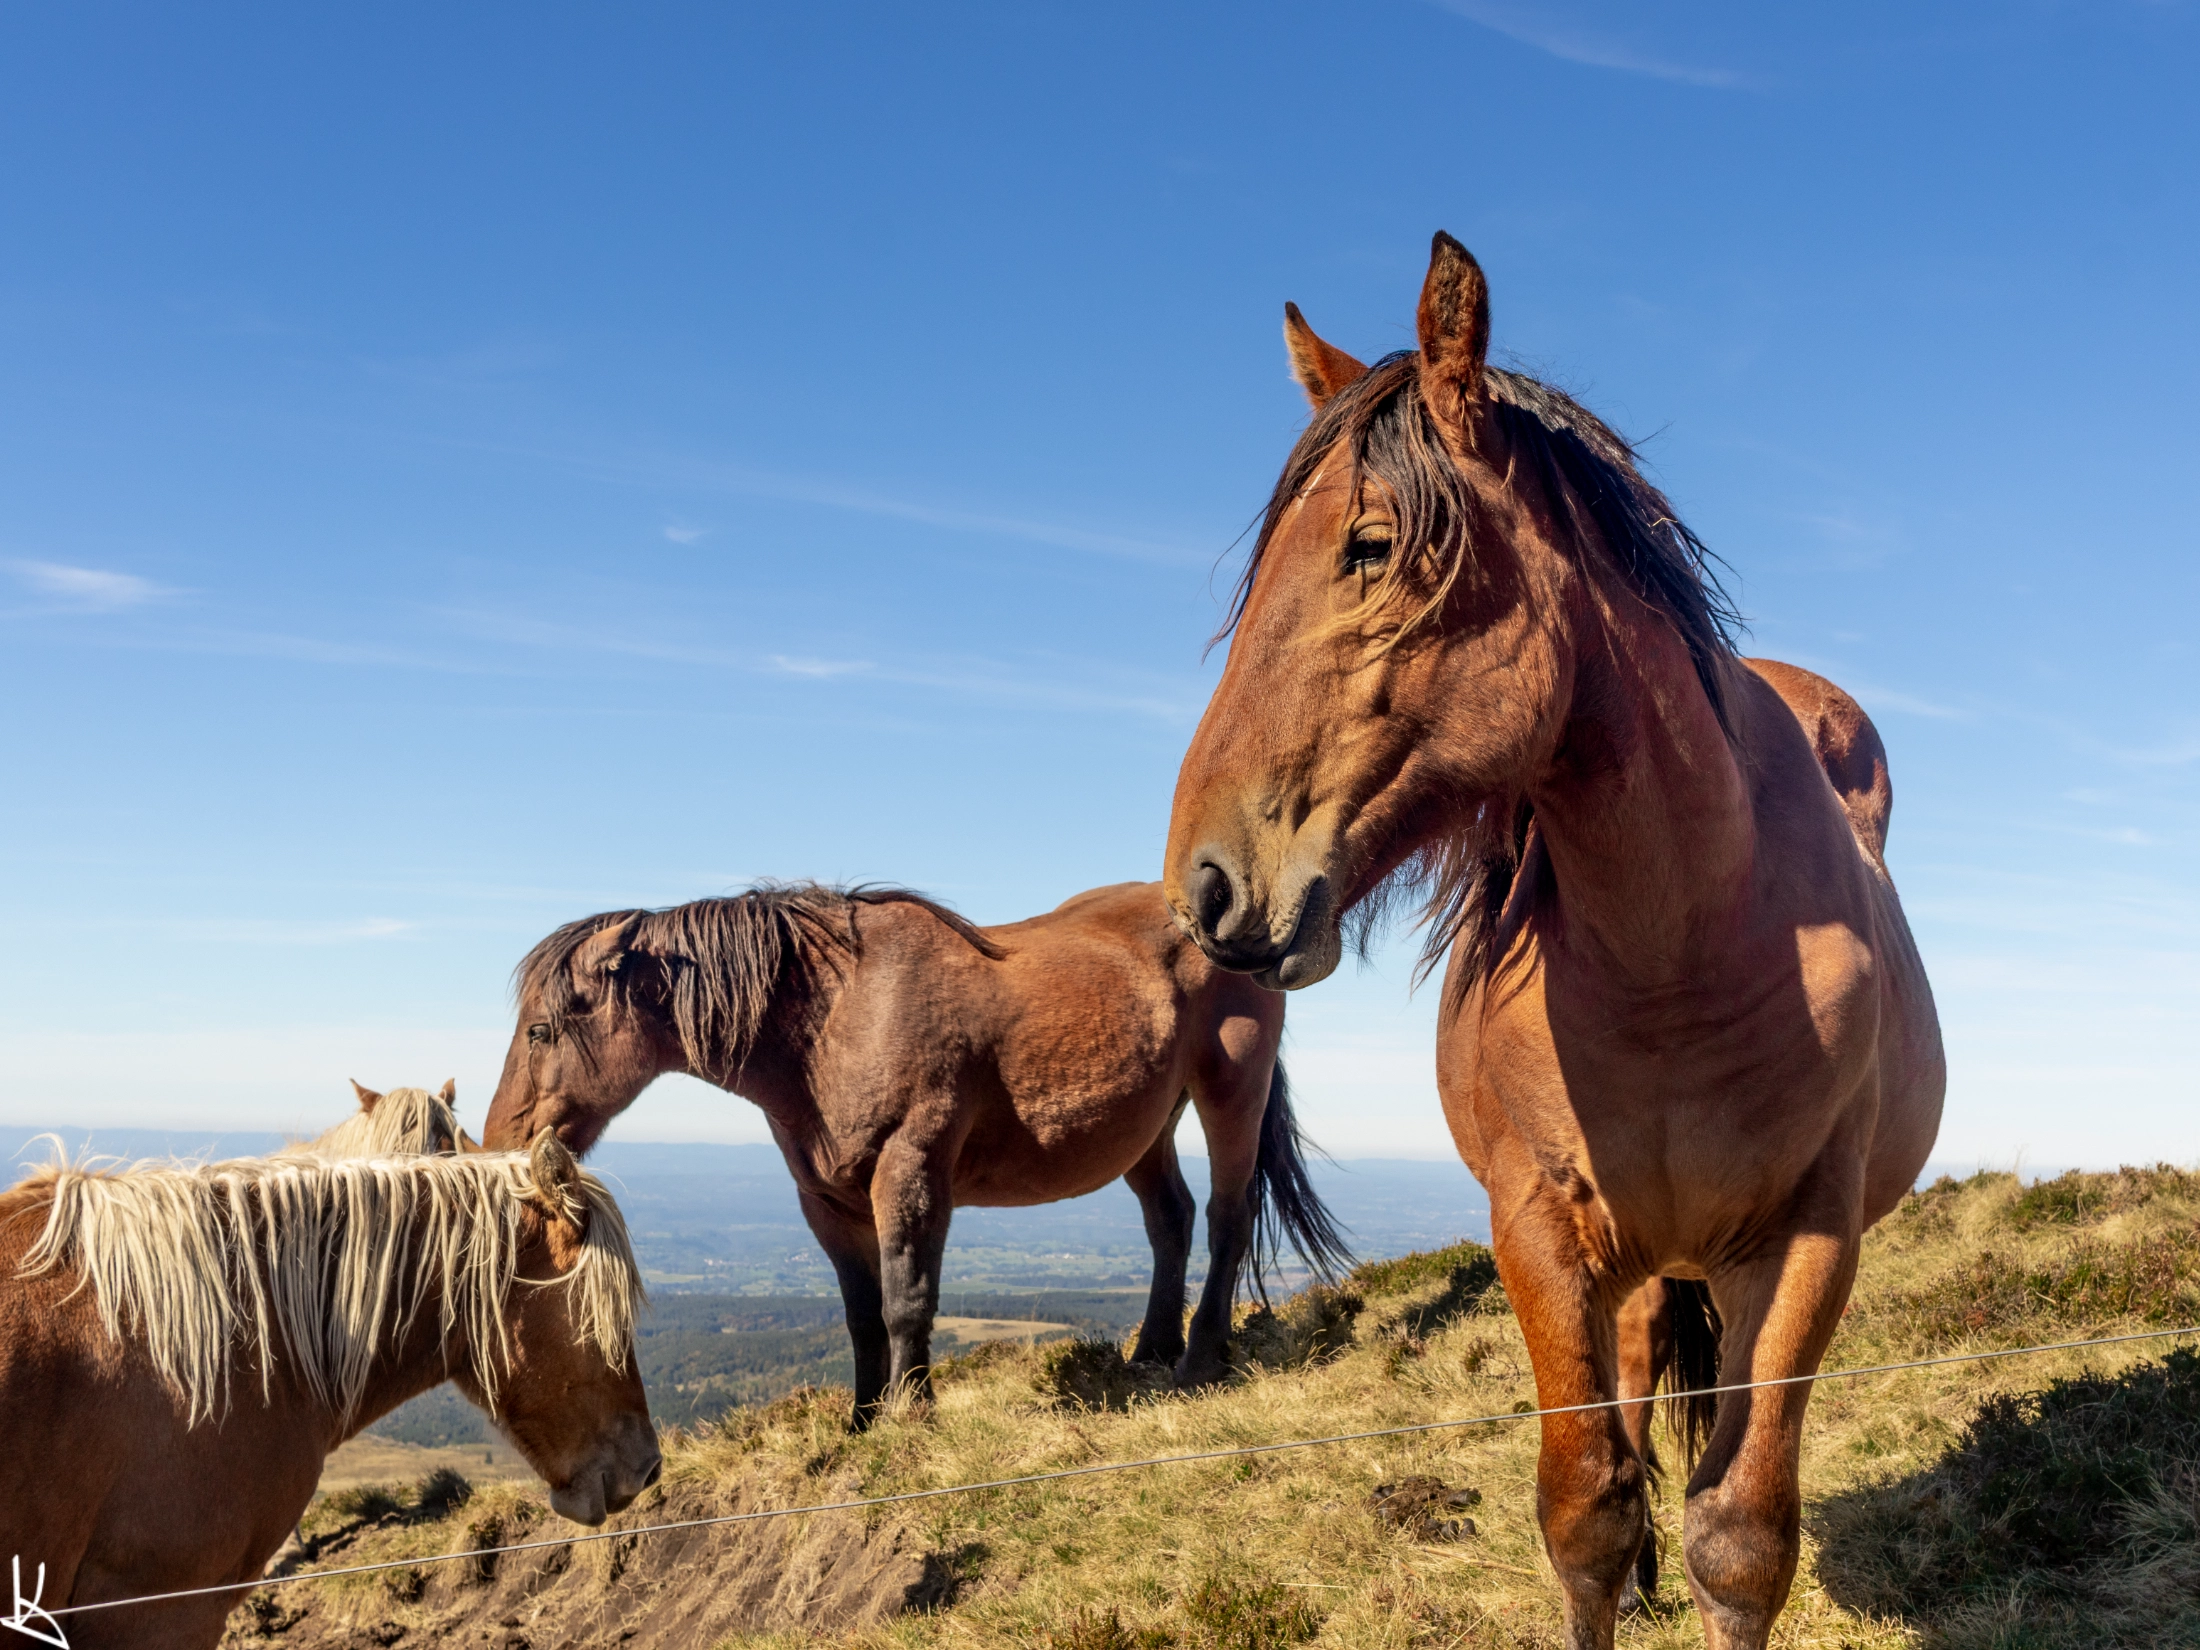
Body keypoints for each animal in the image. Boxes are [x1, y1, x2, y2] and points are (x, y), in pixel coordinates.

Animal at [480, 879, 1350, 1419]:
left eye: (542, 1030)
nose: (500, 1143)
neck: (836, 1020)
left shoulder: (911, 1171)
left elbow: (907, 1300)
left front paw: (913, 1411)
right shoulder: (827, 1203)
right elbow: (862, 1315)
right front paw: (862, 1422)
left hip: (1230, 1091)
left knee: (1229, 1216)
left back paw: (1199, 1361)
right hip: (1147, 1129)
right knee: (1171, 1219)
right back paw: (1151, 1352)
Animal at [1162, 234, 1944, 1649]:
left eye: (1369, 547)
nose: (1203, 889)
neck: (1677, 947)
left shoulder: (1808, 1241)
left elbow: (1742, 1533)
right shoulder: (1538, 1227)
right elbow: (1585, 1508)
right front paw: (1618, 1574)